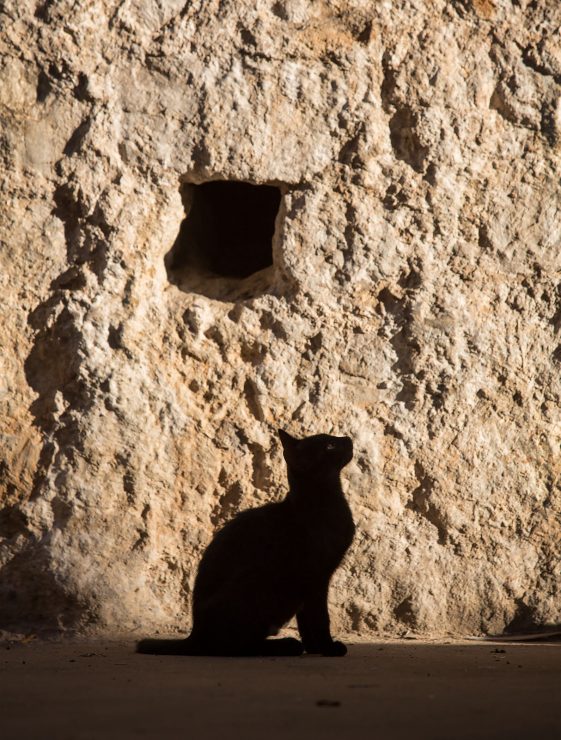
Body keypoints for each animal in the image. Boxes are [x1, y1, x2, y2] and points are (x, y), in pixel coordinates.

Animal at [137, 430, 354, 656]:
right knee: (234, 646)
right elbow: (320, 618)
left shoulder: (312, 584)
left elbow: (306, 621)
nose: (348, 439)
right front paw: (328, 648)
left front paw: (314, 648)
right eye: (329, 445)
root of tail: (195, 634)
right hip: (258, 579)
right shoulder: (316, 578)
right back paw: (285, 645)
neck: (326, 502)